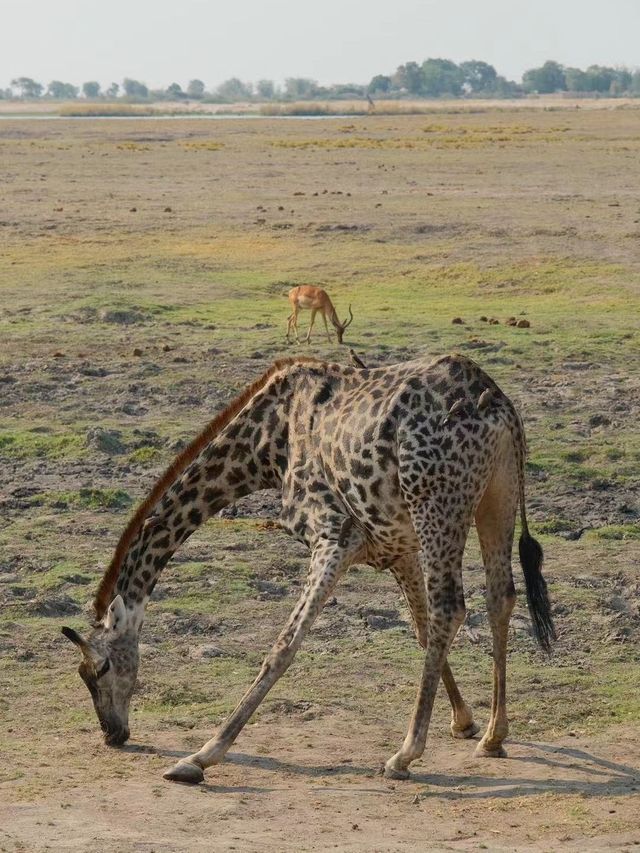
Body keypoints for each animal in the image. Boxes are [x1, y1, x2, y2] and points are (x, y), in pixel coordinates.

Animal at [63, 352, 556, 784]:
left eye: (100, 669)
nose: (112, 733)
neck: (266, 445)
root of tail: (494, 401)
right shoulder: (394, 545)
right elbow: (419, 628)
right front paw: (464, 722)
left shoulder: (334, 534)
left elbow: (284, 644)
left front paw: (203, 755)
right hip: (494, 496)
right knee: (499, 596)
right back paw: (493, 736)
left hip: (437, 503)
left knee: (452, 607)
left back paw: (404, 754)